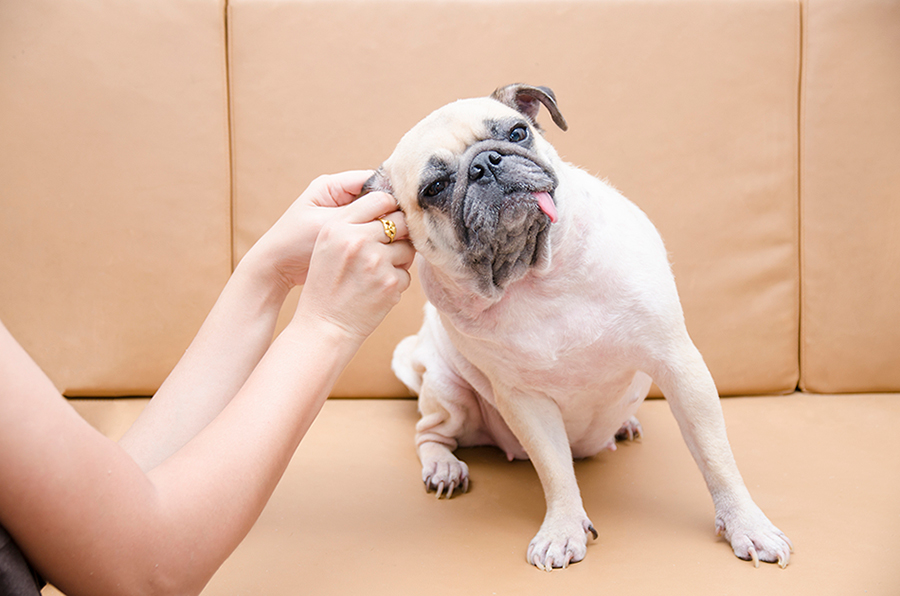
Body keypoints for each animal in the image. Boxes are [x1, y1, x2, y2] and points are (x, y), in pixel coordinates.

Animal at [362, 85, 792, 572]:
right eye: (434, 189)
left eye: (517, 133)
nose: (485, 163)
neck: (534, 277)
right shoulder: (525, 401)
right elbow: (555, 471)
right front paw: (563, 529)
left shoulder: (678, 365)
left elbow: (717, 458)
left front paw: (747, 525)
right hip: (448, 391)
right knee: (430, 433)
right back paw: (443, 467)